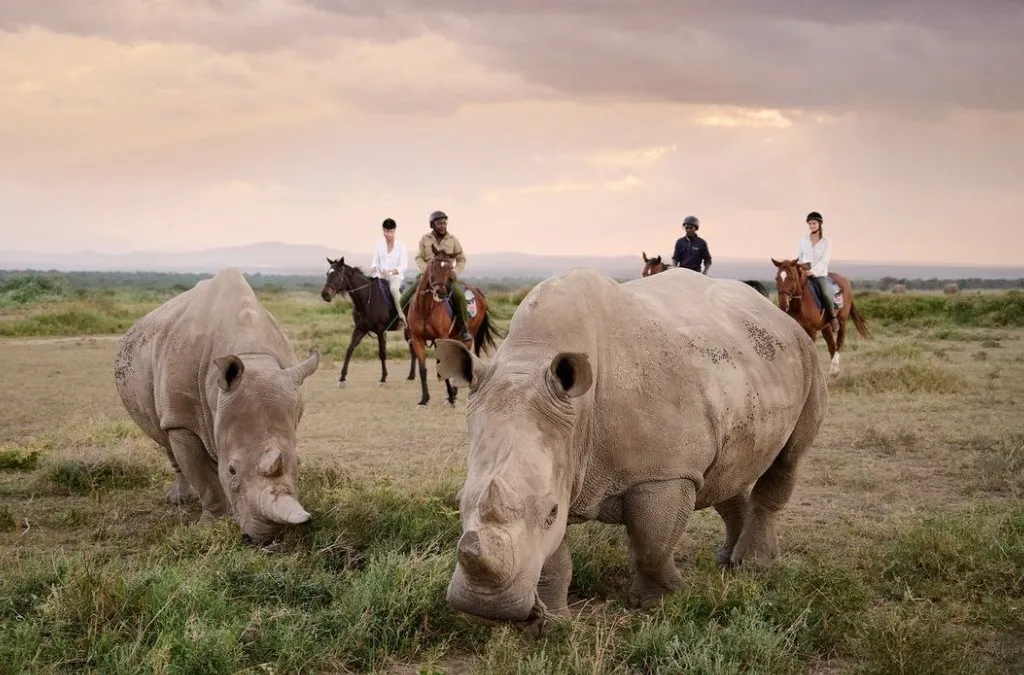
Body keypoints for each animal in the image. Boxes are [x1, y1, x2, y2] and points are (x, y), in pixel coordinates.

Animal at [114, 268, 321, 544]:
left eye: (299, 463)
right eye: (232, 470)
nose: (265, 537)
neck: (250, 355)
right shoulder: (182, 421)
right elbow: (204, 479)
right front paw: (212, 525)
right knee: (164, 436)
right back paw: (179, 501)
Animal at [436, 266, 827, 633]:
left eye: (550, 511)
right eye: (459, 502)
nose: (487, 605)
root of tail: (775, 311)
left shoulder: (665, 473)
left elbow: (651, 544)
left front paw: (662, 602)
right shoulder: (560, 461)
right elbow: (553, 559)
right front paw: (549, 625)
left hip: (805, 355)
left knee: (788, 458)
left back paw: (753, 566)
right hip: (742, 367)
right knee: (727, 473)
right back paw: (726, 560)